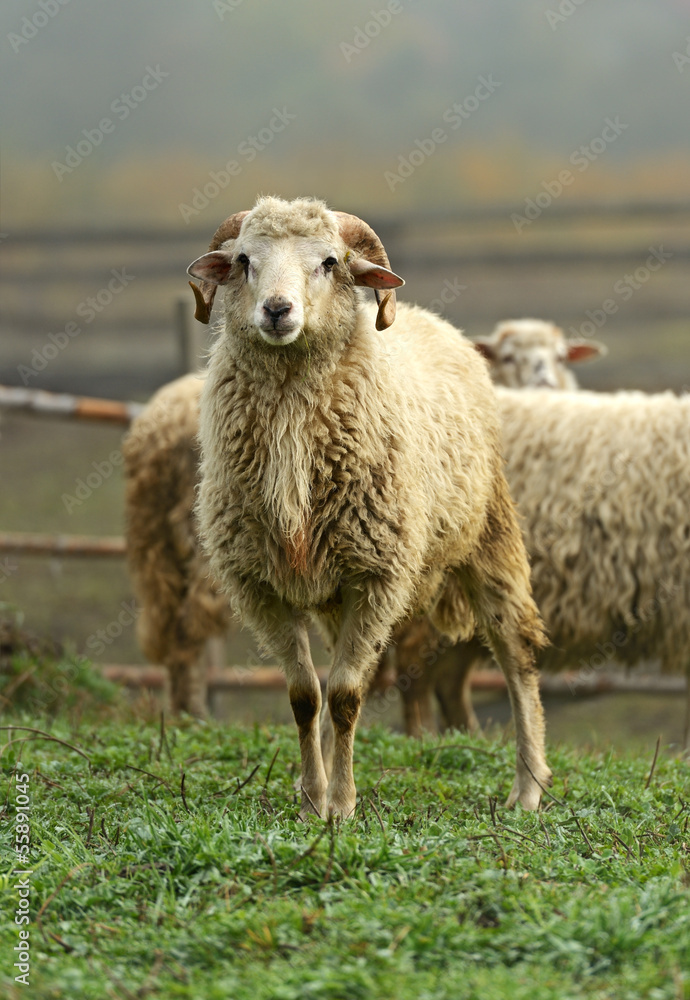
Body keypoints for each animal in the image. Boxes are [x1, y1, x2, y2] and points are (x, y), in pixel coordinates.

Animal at [187, 195, 551, 818]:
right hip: (338, 592)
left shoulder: (377, 575)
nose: (277, 310)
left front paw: (342, 805)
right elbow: (306, 695)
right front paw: (313, 799)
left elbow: (347, 696)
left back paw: (528, 787)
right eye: (243, 260)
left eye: (330, 262)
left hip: (490, 537)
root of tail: (435, 322)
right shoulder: (259, 583)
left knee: (516, 654)